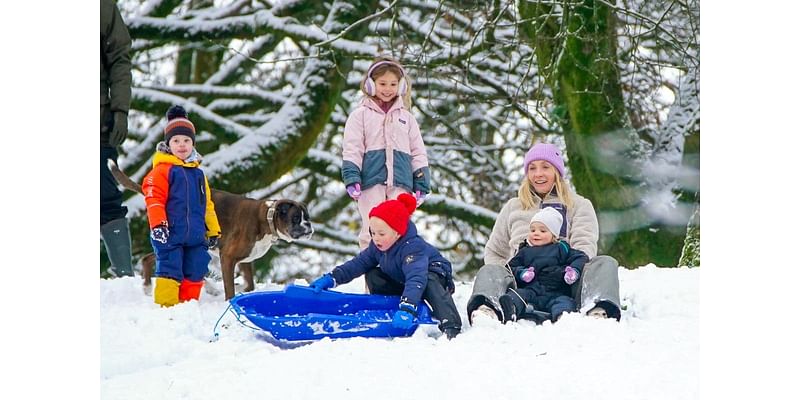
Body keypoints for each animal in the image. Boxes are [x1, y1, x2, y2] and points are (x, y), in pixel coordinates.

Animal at [108, 159, 314, 300]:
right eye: (296, 218)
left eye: (308, 217)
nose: (309, 226)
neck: (266, 218)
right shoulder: (228, 257)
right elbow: (230, 288)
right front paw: (229, 300)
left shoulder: (245, 260)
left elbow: (249, 284)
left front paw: (237, 289)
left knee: (153, 259)